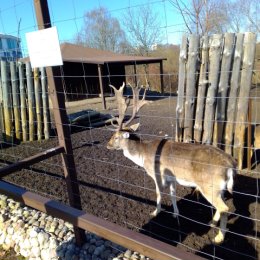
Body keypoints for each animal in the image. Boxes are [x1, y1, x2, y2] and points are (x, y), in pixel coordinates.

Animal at [106, 83, 237, 244]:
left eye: (116, 137)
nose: (107, 145)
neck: (143, 155)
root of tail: (231, 165)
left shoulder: (157, 174)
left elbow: (158, 193)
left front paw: (155, 212)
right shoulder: (172, 178)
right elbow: (173, 194)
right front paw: (175, 214)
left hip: (209, 186)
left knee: (225, 208)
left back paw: (219, 237)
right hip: (220, 188)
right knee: (223, 204)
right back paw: (213, 222)